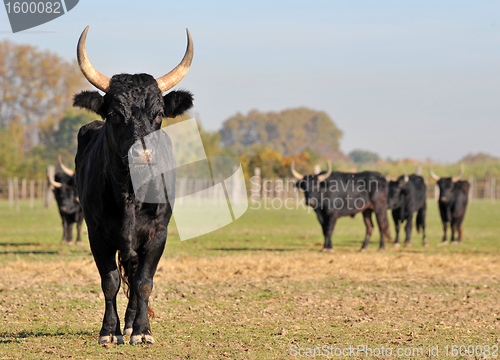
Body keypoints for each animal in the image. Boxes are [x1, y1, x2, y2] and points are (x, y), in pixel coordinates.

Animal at [72, 26, 193, 346]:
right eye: (114, 114)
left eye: (159, 114)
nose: (144, 154)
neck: (130, 194)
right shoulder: (96, 233)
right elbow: (110, 281)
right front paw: (108, 331)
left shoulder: (157, 234)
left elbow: (143, 282)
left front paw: (141, 331)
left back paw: (130, 325)